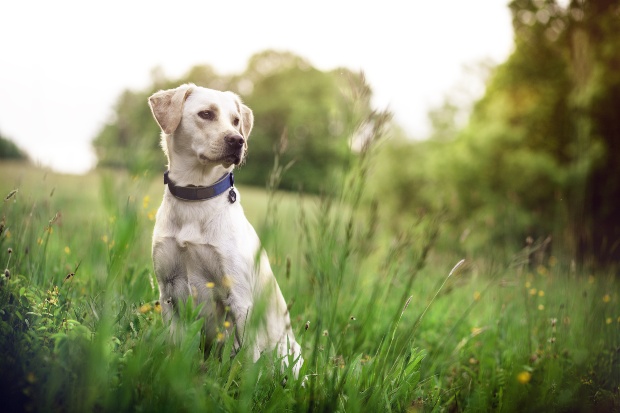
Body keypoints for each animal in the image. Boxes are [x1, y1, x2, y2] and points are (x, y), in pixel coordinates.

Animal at [150, 83, 306, 376]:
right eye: (206, 114)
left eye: (235, 121)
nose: (238, 140)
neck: (195, 195)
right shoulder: (167, 291)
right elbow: (174, 344)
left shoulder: (239, 299)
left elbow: (244, 361)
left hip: (290, 356)